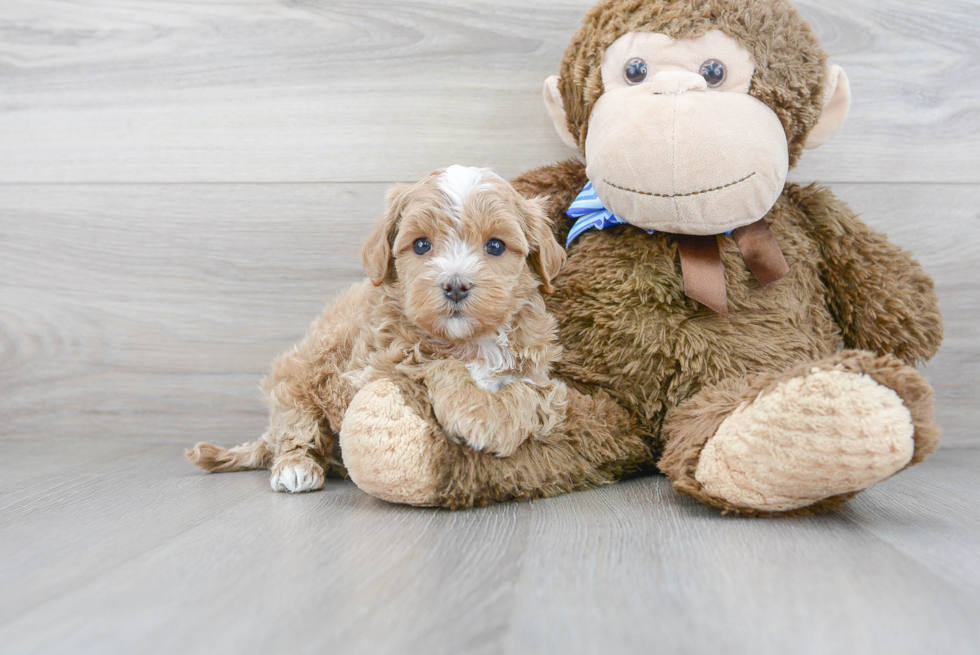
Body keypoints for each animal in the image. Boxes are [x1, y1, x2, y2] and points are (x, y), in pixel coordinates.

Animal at [187, 167, 568, 494]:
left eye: (496, 246)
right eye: (421, 245)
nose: (456, 285)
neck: (470, 341)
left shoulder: (541, 378)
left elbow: (527, 392)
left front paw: (499, 421)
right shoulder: (377, 367)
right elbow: (438, 364)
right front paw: (477, 413)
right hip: (296, 379)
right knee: (292, 427)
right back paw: (296, 467)